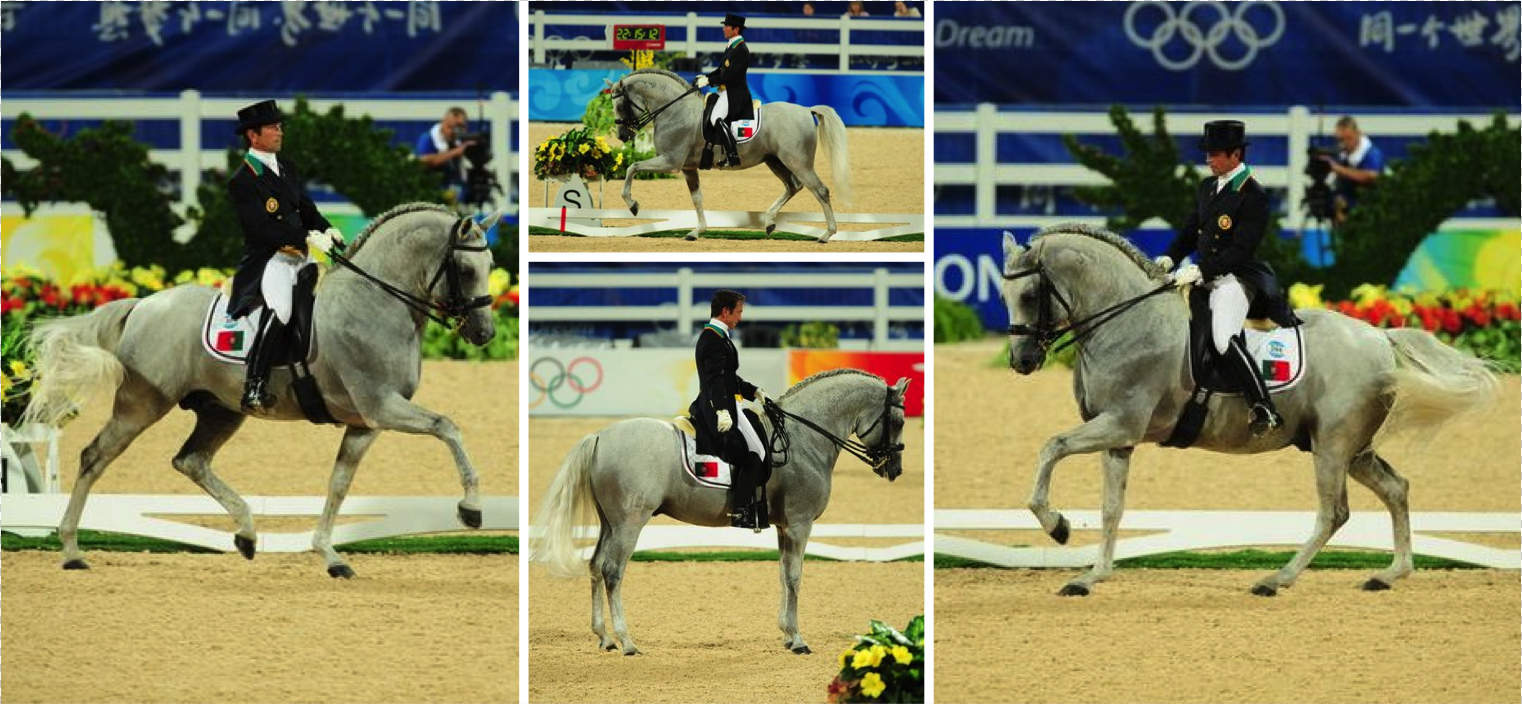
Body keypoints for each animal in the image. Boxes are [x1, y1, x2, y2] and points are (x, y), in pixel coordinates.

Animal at [23, 203, 499, 577]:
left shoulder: (365, 422)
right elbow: (447, 426)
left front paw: (329, 555)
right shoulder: (382, 407)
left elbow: (339, 484)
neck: (376, 303)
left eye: (490, 267)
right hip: (141, 404)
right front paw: (471, 509)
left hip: (221, 410)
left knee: (190, 461)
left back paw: (247, 534)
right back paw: (70, 550)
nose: (484, 333)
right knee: (95, 457)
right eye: (465, 269)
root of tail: (143, 304)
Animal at [529, 369, 907, 656]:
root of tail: (600, 436)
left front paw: (786, 635)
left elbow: (783, 575)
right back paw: (627, 641)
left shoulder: (784, 528)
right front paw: (798, 640)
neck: (802, 438)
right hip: (629, 523)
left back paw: (604, 638)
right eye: (900, 420)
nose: (895, 470)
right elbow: (795, 577)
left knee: (595, 565)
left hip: (609, 522)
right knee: (612, 571)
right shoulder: (799, 525)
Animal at [608, 68, 858, 243]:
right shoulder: (688, 168)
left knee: (820, 190)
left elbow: (632, 167)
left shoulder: (671, 162)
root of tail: (806, 110)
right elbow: (697, 198)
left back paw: (826, 235)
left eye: (620, 105)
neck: (675, 111)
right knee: (793, 186)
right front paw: (696, 232)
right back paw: (769, 222)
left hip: (798, 162)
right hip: (775, 161)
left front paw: (633, 205)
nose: (622, 135)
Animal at [998, 225, 1497, 596]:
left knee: (1333, 512)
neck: (1126, 323)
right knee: (1396, 488)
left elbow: (1052, 447)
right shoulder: (1119, 437)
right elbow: (1111, 507)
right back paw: (1391, 574)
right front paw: (1091, 577)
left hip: (1332, 447)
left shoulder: (1119, 424)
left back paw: (1277, 579)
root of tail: (1379, 336)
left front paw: (1057, 527)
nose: (1021, 361)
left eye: (1030, 296)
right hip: (1352, 449)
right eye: (1005, 296)